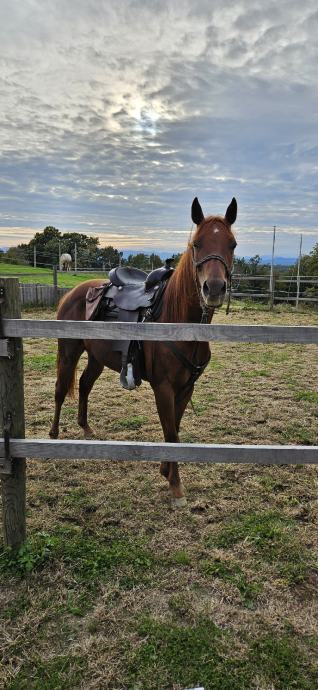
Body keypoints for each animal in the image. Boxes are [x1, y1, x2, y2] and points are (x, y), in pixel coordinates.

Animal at [49, 196, 237, 502]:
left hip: (96, 358)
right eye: (196, 244)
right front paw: (175, 486)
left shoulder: (186, 388)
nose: (214, 288)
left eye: (232, 244)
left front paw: (165, 470)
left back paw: (86, 428)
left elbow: (175, 430)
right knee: (60, 388)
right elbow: (171, 434)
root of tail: (75, 291)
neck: (176, 321)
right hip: (68, 351)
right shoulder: (163, 388)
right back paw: (53, 435)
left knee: (85, 385)